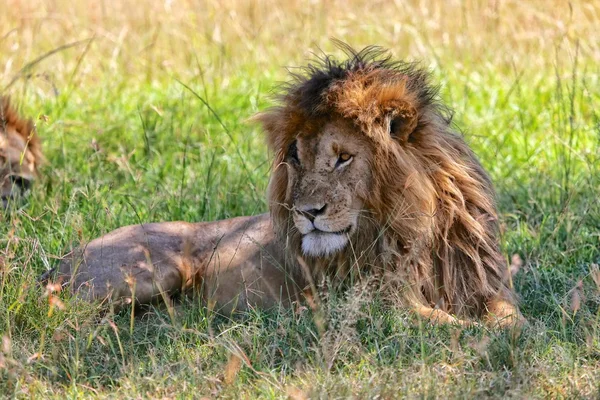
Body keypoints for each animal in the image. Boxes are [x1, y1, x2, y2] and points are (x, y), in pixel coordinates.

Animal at [49, 46, 524, 328]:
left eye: (343, 158)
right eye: (295, 157)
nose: (306, 213)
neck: (416, 229)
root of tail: (59, 260)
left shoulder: (486, 286)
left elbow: (510, 321)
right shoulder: (378, 303)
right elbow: (453, 326)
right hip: (147, 270)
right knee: (54, 308)